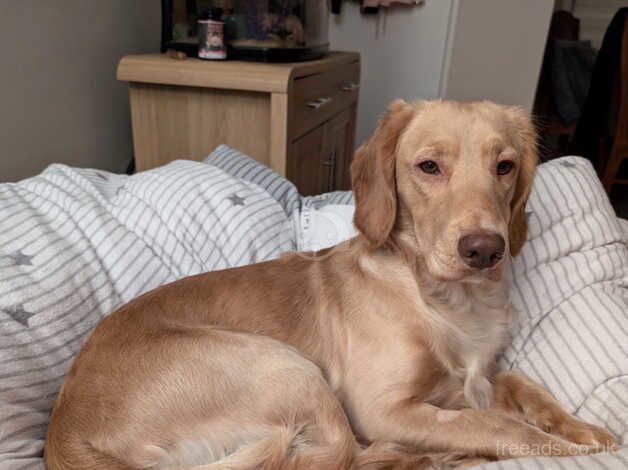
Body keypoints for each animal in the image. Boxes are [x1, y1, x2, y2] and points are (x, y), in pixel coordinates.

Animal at [45, 100, 620, 470]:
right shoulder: (382, 408)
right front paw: (568, 449)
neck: (442, 299)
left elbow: (524, 385)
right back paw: (429, 456)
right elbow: (496, 427)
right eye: (428, 166)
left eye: (505, 167)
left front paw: (583, 428)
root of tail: (65, 434)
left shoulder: (477, 376)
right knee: (345, 457)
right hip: (287, 368)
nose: (484, 250)